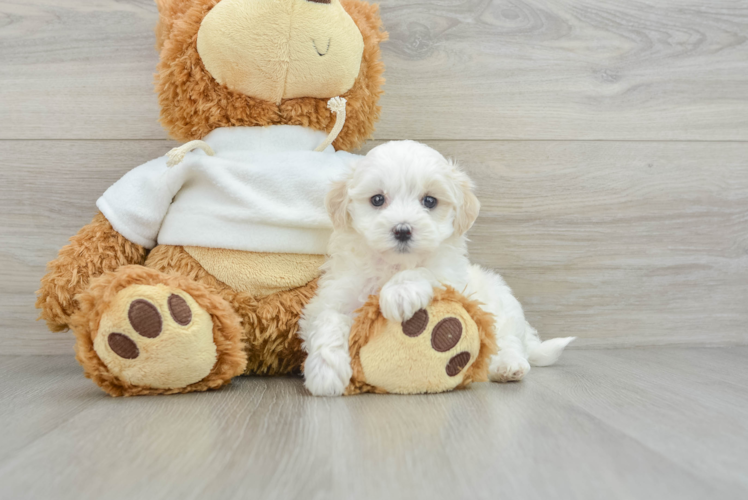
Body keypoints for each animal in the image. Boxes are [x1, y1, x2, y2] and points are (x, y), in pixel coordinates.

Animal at [298, 140, 572, 394]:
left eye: (429, 201)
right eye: (377, 199)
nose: (402, 230)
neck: (394, 265)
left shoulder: (451, 277)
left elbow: (425, 271)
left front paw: (400, 293)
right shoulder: (335, 295)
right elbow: (327, 319)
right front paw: (325, 372)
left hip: (502, 308)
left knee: (507, 341)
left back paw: (508, 366)